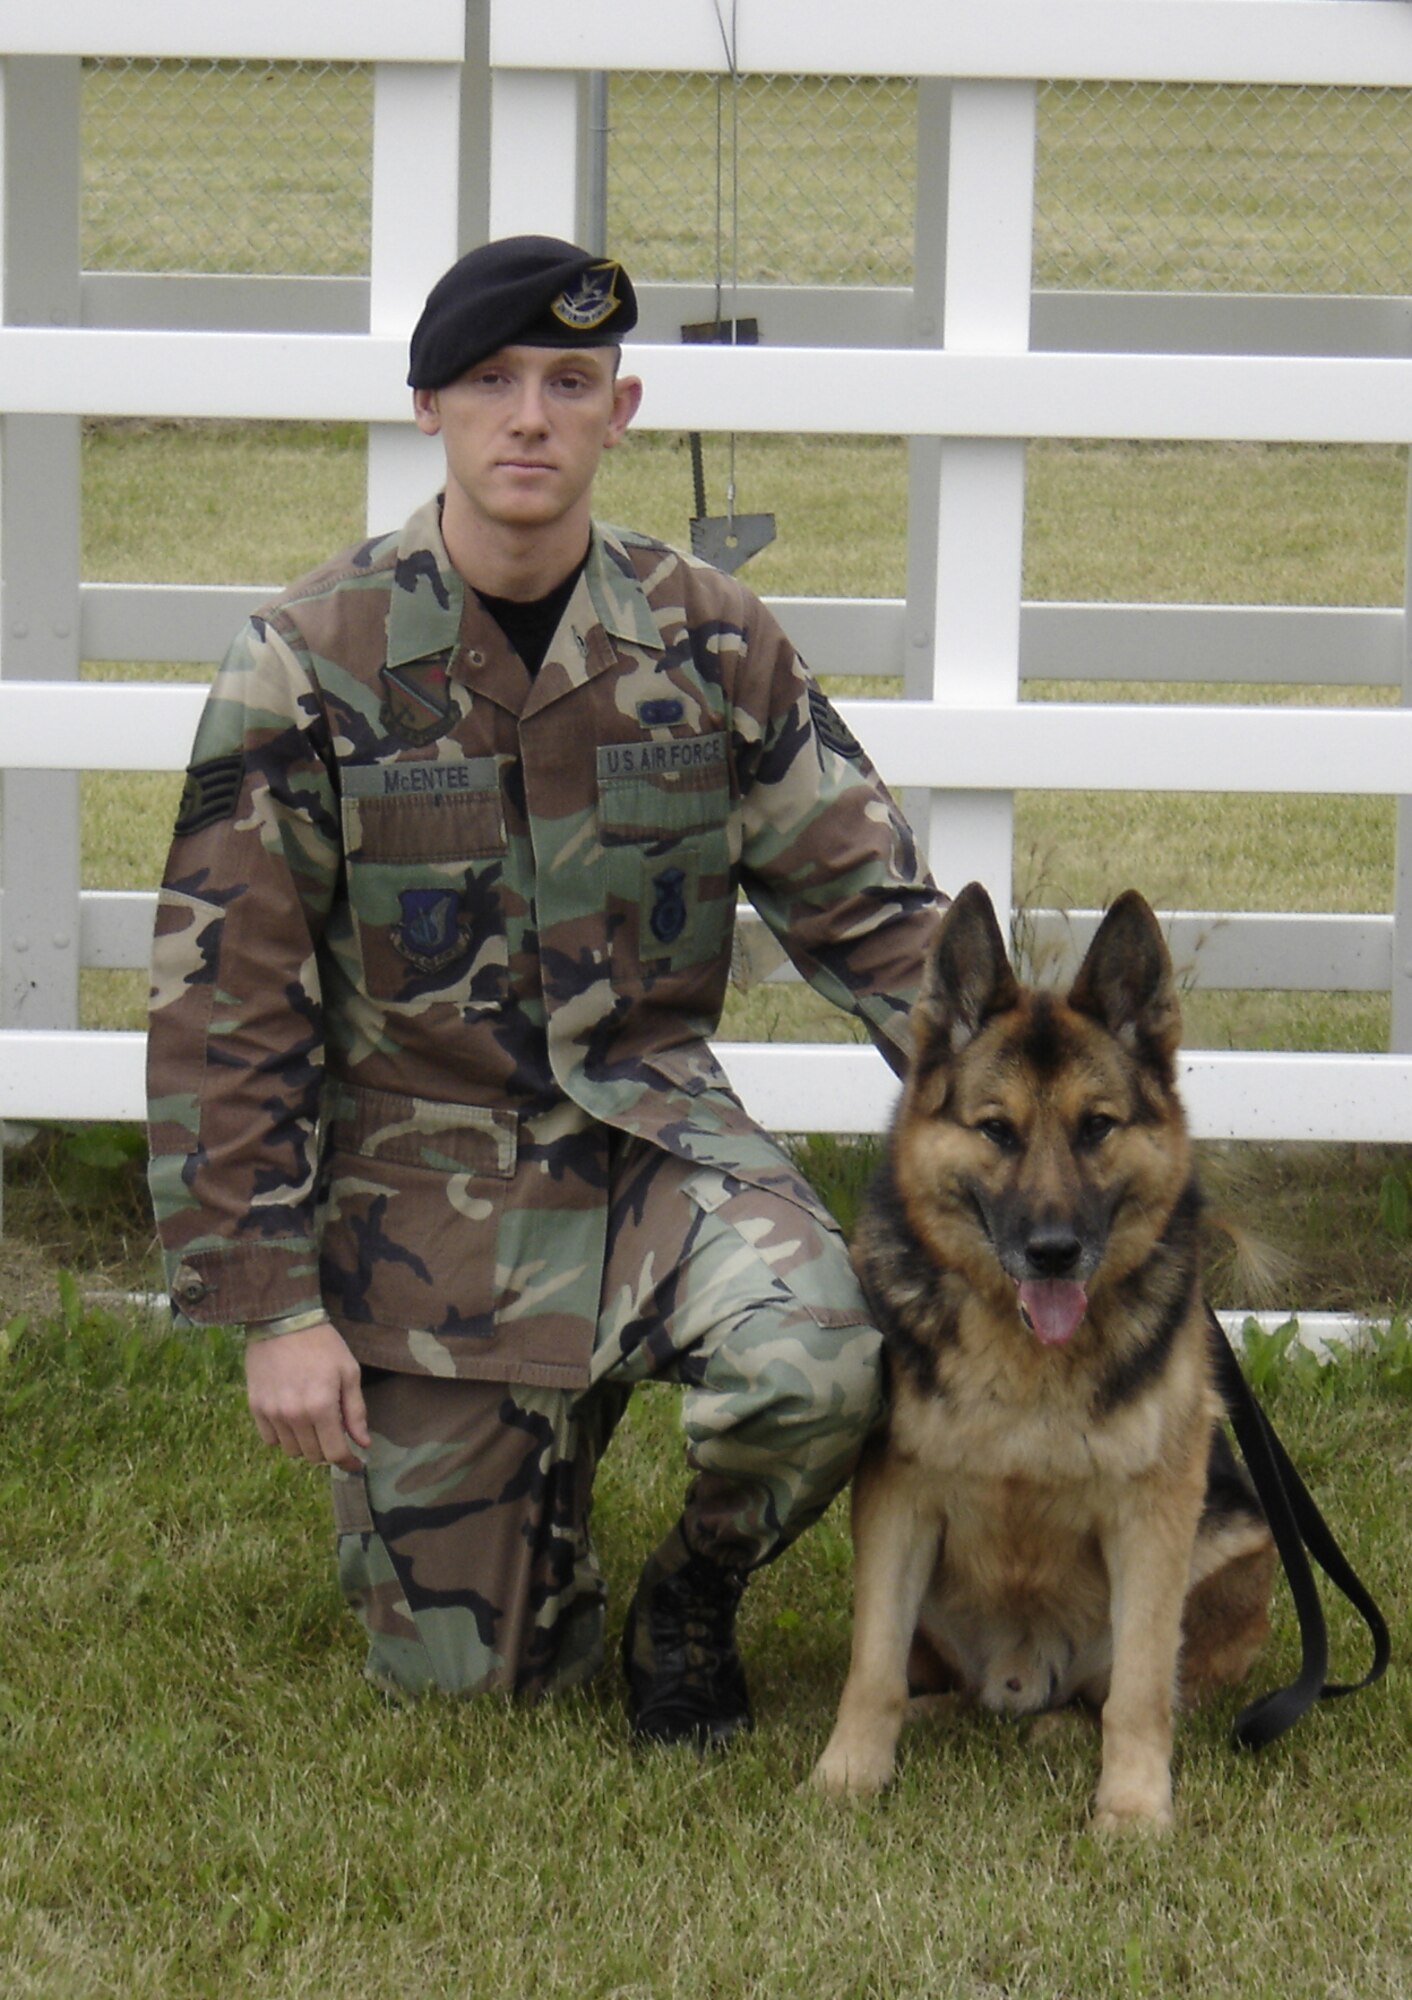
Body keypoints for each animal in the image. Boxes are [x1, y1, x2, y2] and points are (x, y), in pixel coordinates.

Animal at [808, 888, 1272, 1832]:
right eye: (997, 1131)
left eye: (1096, 1128)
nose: (1054, 1252)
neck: (1023, 1356)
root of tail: (1021, 1680)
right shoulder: (897, 1500)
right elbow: (871, 1669)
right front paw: (850, 1774)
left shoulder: (1154, 1516)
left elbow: (1141, 1692)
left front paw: (1132, 1808)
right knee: (936, 1685)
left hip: (1237, 1546)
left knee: (1124, 1693)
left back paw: (1062, 1732)